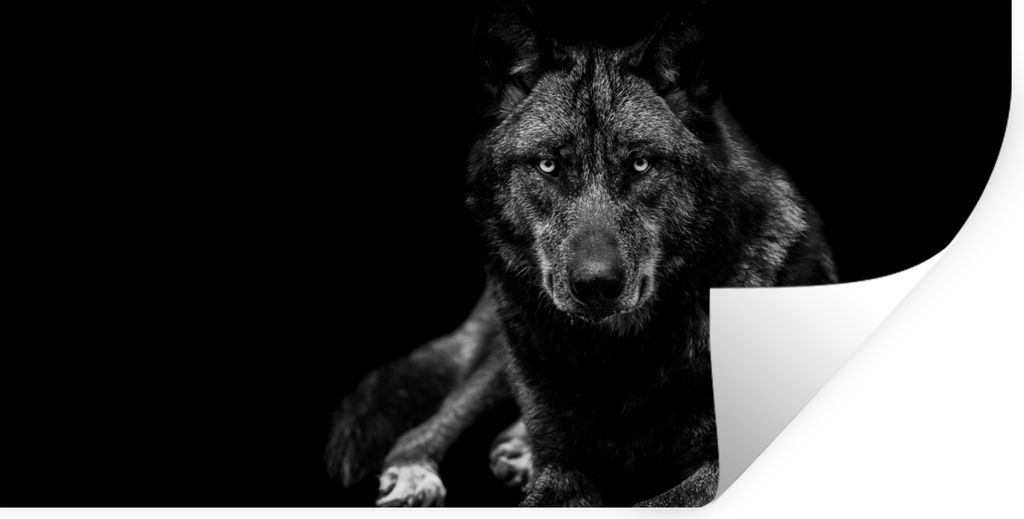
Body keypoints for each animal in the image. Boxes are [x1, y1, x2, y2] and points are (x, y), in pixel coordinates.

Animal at [326, 0, 837, 507]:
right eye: (548, 165)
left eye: (640, 163)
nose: (595, 284)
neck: (613, 362)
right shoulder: (563, 468)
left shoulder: (721, 469)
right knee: (430, 422)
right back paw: (417, 470)